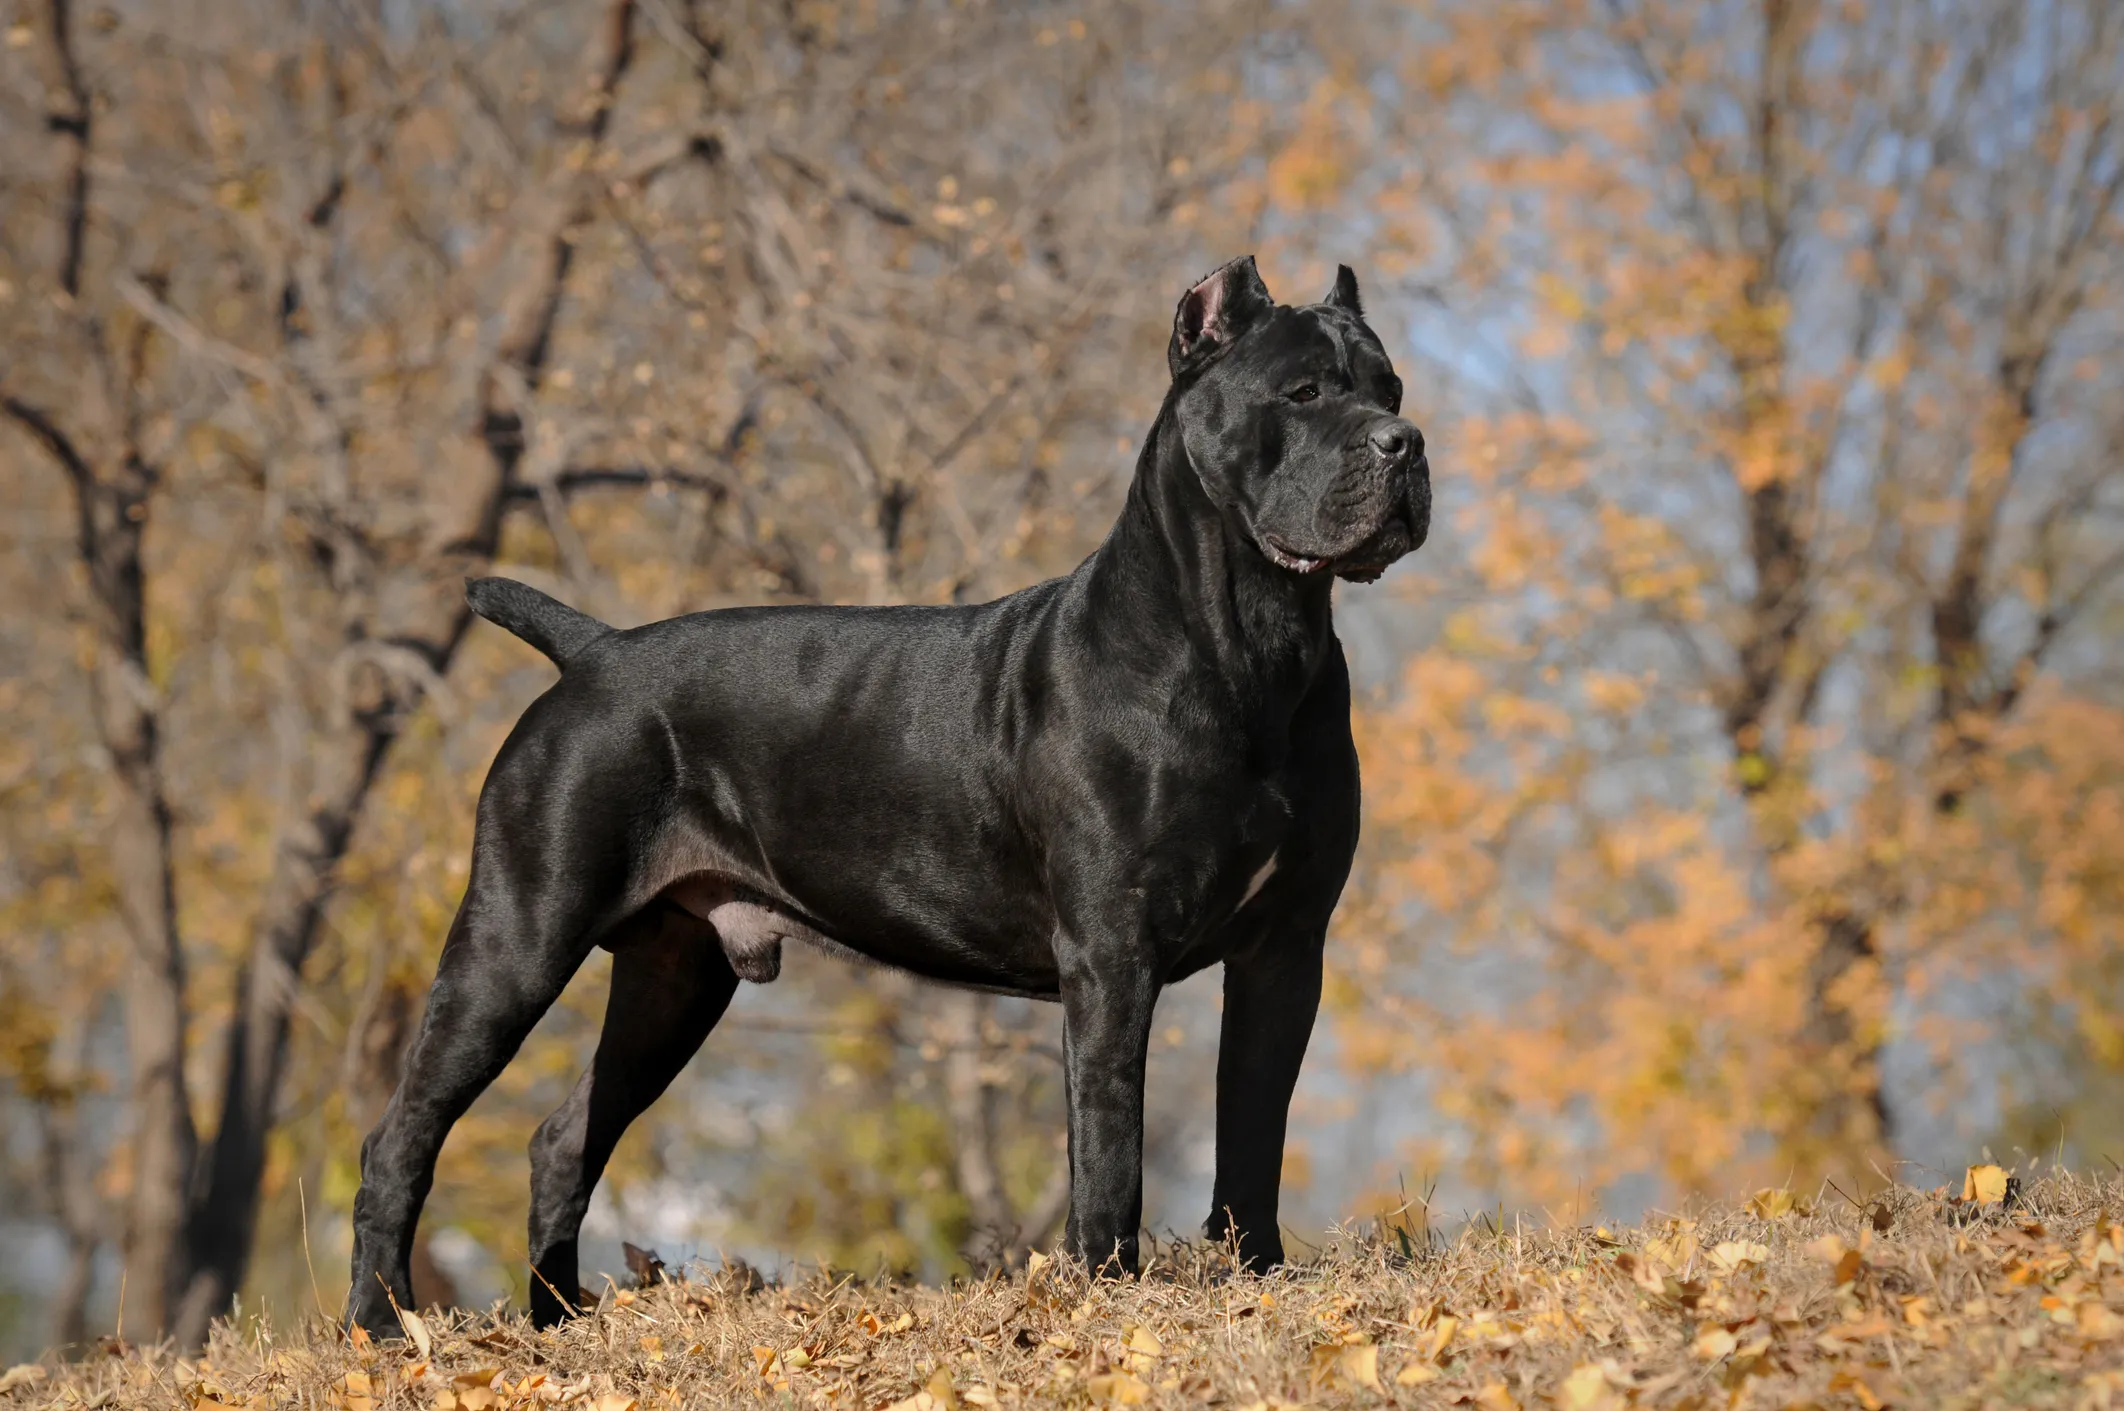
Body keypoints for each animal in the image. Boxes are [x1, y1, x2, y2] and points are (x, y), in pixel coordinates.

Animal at [348, 256, 1427, 1334]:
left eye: (1392, 388)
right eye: (1302, 392)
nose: (1406, 443)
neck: (1254, 644)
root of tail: (595, 650)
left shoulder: (1285, 948)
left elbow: (1254, 1128)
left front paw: (1260, 1280)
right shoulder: (1113, 952)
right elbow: (1109, 1144)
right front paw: (1110, 1298)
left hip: (673, 975)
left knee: (564, 1137)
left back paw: (559, 1322)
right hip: (516, 939)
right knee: (399, 1136)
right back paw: (382, 1323)